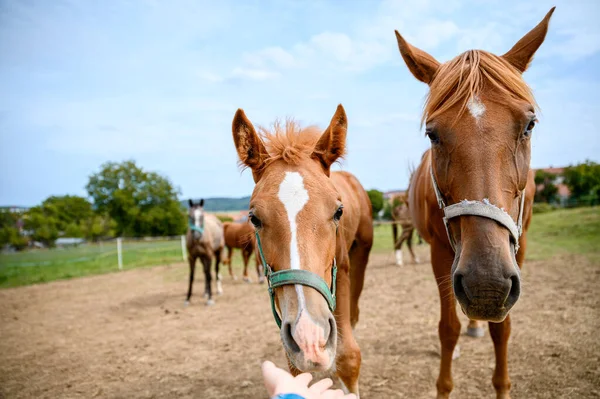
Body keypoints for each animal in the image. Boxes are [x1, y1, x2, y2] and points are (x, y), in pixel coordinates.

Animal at [232, 104, 372, 396]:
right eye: (254, 218)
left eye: (338, 211)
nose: (310, 336)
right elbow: (294, 366)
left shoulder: (341, 272)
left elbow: (349, 356)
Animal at [396, 7, 556, 398]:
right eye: (432, 134)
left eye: (529, 125)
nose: (487, 283)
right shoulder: (441, 253)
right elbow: (447, 328)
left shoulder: (519, 248)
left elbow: (503, 328)